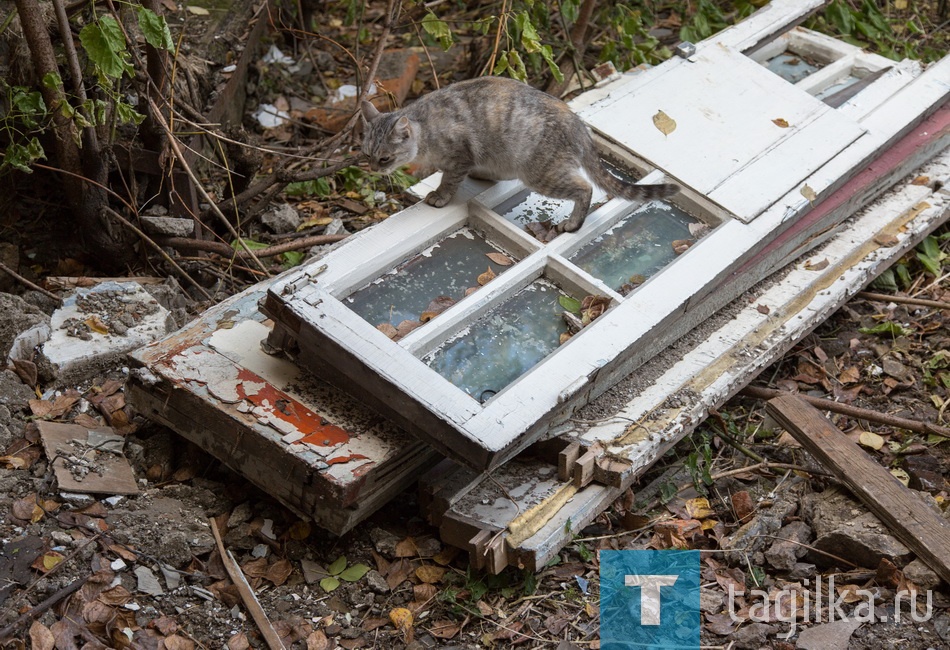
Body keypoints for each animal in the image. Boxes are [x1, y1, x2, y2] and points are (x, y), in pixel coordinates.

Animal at [360, 76, 680, 233]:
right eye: (366, 154)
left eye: (384, 158)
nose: (373, 169)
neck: (425, 131)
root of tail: (578, 124)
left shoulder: (458, 156)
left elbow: (449, 180)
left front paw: (440, 196)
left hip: (541, 174)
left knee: (585, 188)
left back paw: (573, 223)